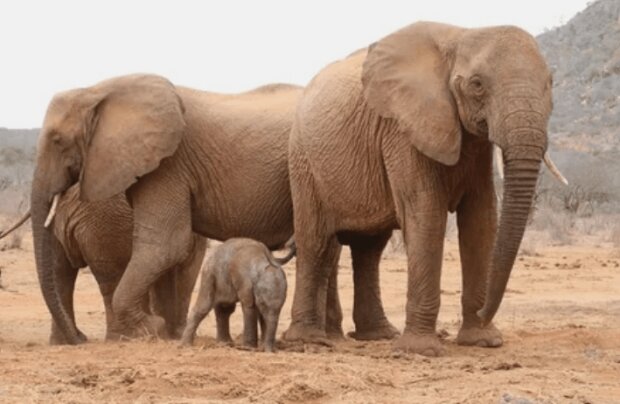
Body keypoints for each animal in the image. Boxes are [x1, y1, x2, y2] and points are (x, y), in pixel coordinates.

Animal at [32, 78, 358, 344]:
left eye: (58, 141)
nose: (80, 339)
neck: (99, 91)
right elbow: (166, 251)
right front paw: (160, 332)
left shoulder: (169, 164)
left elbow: (165, 245)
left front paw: (148, 330)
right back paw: (329, 336)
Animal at [286, 22, 568, 356]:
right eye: (477, 85)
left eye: (551, 83)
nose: (485, 311)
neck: (460, 37)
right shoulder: (402, 128)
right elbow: (427, 213)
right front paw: (422, 350)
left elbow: (481, 218)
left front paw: (483, 341)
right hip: (303, 161)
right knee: (315, 242)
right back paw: (308, 340)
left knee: (369, 249)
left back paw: (378, 336)